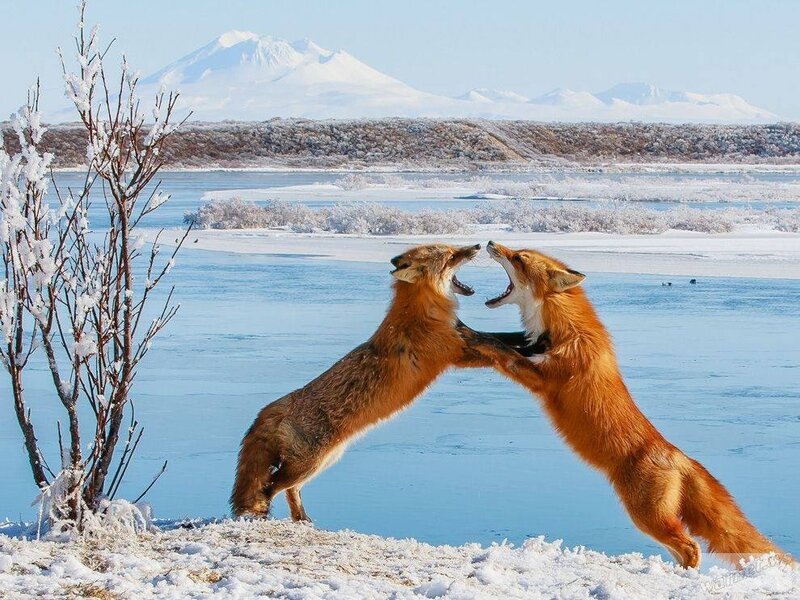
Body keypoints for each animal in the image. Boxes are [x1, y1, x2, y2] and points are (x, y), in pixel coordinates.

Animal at [231, 243, 528, 521]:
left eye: (454, 249)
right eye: (451, 256)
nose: (477, 246)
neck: (424, 311)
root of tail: (273, 407)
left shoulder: (466, 335)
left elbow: (504, 337)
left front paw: (530, 341)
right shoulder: (456, 353)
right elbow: (499, 348)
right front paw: (520, 357)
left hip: (322, 462)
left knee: (291, 490)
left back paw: (302, 519)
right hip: (308, 464)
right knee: (269, 487)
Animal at [477, 240, 791, 569]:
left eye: (519, 259)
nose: (491, 243)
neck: (563, 330)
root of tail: (679, 456)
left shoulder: (544, 378)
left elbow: (502, 351)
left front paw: (473, 340)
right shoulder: (529, 348)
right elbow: (502, 339)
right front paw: (470, 332)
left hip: (646, 516)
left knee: (691, 547)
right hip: (652, 519)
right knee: (682, 549)